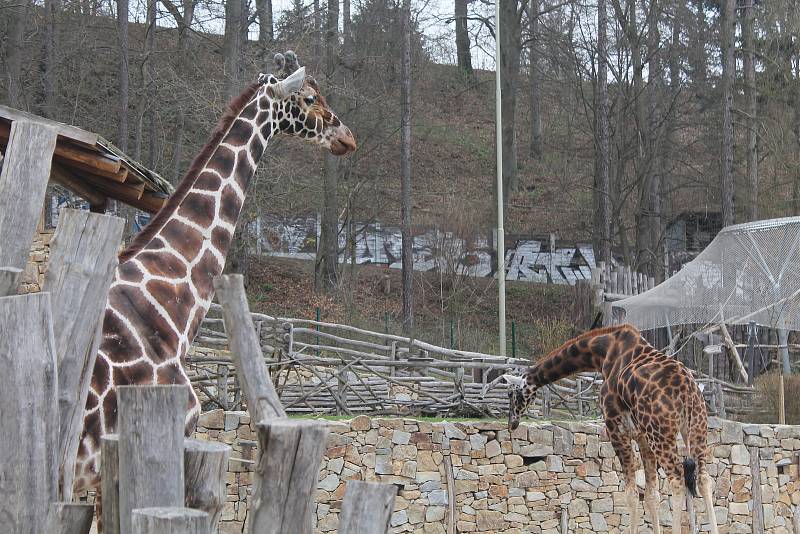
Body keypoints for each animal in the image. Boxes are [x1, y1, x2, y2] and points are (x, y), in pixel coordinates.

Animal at [500, 324, 720, 534]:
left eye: (510, 394)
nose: (512, 424)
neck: (601, 353)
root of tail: (687, 391)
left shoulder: (615, 427)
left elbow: (631, 494)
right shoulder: (642, 436)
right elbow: (651, 495)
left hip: (660, 432)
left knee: (677, 479)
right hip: (695, 426)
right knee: (704, 478)